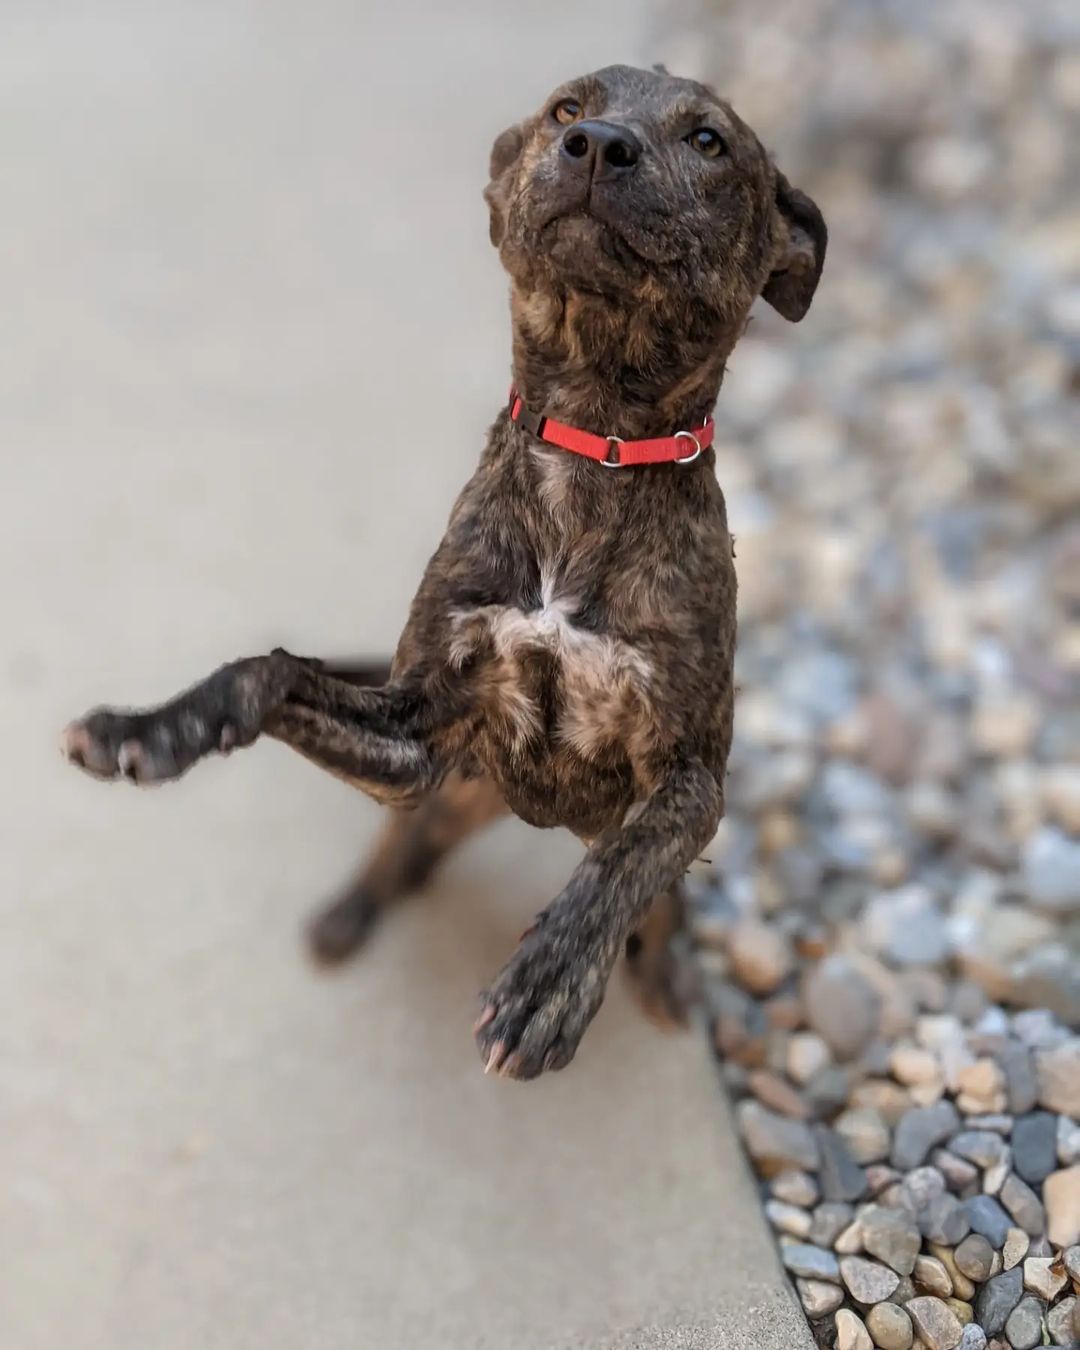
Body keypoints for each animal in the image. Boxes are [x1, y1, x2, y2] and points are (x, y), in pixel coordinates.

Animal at [63, 63, 820, 1080]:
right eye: (566, 109)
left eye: (709, 142)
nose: (598, 145)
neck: (592, 443)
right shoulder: (419, 731)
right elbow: (269, 670)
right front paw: (154, 726)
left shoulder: (692, 773)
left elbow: (631, 860)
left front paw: (550, 981)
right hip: (444, 791)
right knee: (404, 852)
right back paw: (350, 914)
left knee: (656, 894)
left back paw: (662, 976)